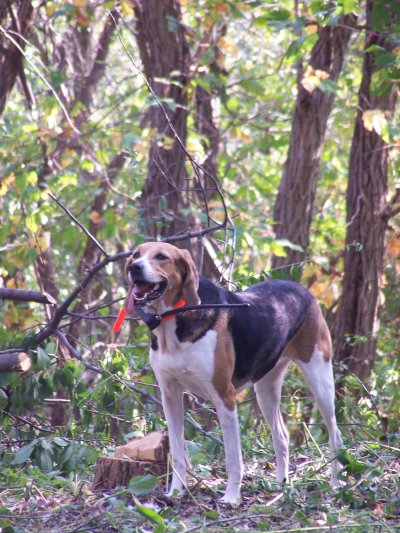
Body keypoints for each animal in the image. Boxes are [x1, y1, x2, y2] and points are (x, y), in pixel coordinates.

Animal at [123, 241, 342, 502]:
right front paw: (176, 491)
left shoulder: (224, 397)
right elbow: (176, 454)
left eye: (161, 257)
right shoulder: (170, 396)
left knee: (335, 435)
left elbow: (233, 457)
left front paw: (231, 497)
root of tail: (302, 290)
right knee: (282, 436)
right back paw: (281, 484)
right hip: (265, 390)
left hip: (320, 381)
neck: (173, 321)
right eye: (136, 254)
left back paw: (335, 483)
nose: (135, 267)